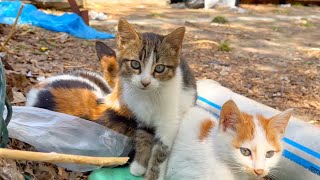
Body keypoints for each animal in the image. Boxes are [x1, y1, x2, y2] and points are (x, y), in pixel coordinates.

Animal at [114, 17, 196, 179]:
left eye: (159, 68)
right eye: (135, 64)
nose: (145, 82)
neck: (148, 96)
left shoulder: (169, 123)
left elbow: (160, 152)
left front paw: (153, 175)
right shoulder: (142, 117)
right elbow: (143, 138)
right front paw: (139, 165)